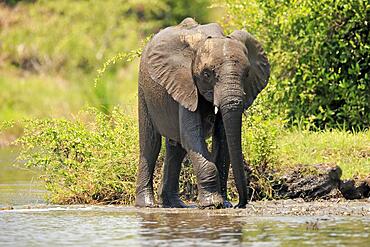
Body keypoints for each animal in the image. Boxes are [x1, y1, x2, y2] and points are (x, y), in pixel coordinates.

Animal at [135, 17, 268, 208]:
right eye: (206, 74)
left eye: (247, 74)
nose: (240, 204)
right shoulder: (184, 82)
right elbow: (191, 135)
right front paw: (213, 204)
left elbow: (222, 136)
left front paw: (224, 204)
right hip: (143, 89)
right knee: (151, 144)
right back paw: (147, 204)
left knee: (176, 149)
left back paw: (175, 204)